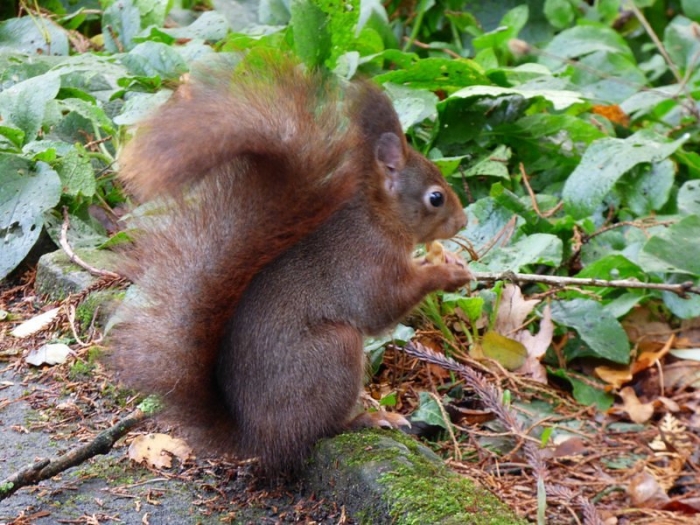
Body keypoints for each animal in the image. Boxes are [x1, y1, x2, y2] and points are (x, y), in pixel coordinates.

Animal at [109, 54, 472, 475]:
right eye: (435, 198)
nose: (462, 222)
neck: (378, 218)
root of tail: (256, 438)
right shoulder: (365, 263)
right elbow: (381, 307)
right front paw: (446, 273)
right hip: (332, 354)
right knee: (322, 430)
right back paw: (367, 418)